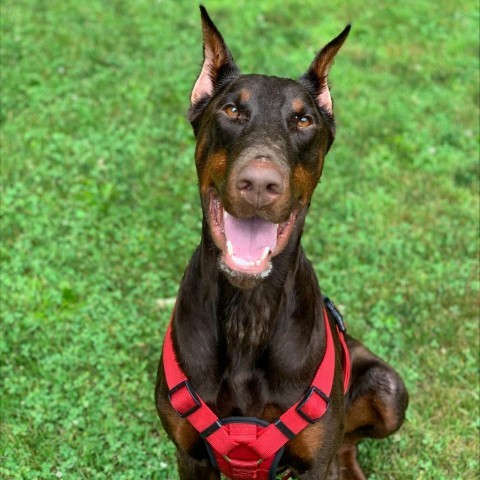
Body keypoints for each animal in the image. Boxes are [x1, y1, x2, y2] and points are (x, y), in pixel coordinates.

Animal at [156, 7, 406, 480]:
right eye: (232, 109)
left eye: (303, 120)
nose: (259, 184)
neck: (248, 312)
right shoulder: (189, 454)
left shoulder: (315, 462)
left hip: (389, 390)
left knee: (347, 443)